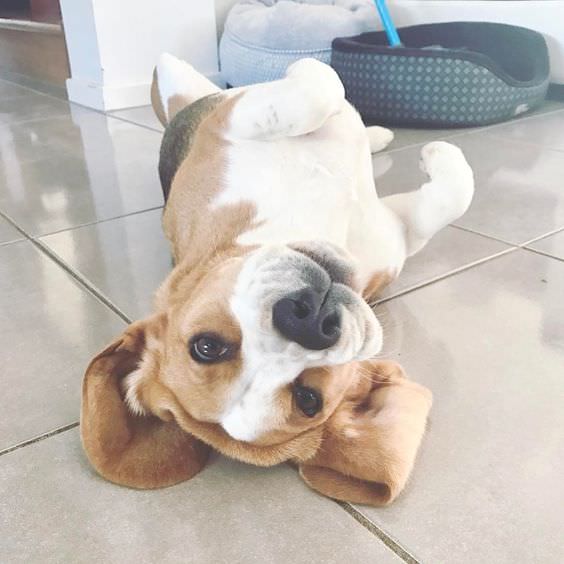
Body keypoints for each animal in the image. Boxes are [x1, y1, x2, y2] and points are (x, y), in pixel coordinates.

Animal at [81, 55, 474, 504]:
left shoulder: (394, 232)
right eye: (308, 399)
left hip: (174, 77)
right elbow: (319, 88)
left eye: (206, 346)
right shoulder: (233, 118)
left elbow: (450, 198)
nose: (305, 321)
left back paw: (375, 133)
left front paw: (433, 155)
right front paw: (434, 150)